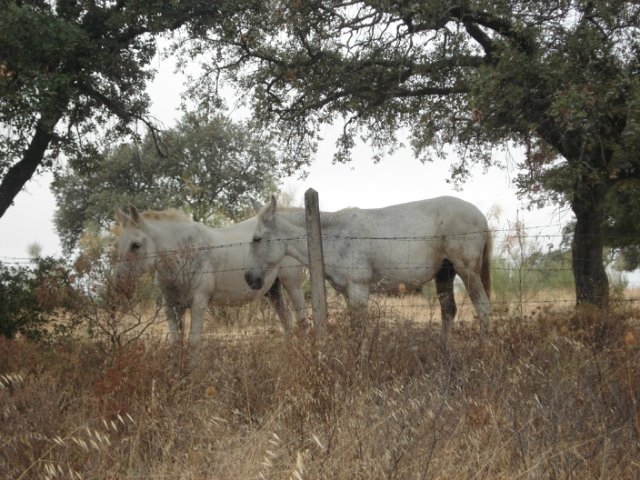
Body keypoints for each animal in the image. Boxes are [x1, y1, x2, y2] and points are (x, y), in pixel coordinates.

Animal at [115, 207, 310, 344]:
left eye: (136, 245)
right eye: (118, 244)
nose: (121, 285)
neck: (184, 253)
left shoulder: (198, 304)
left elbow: (193, 342)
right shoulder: (172, 307)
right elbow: (176, 343)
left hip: (293, 286)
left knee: (302, 323)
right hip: (273, 290)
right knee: (287, 324)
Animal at [244, 195, 490, 344]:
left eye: (257, 239)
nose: (249, 278)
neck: (334, 236)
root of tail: (480, 215)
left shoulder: (359, 289)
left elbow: (361, 326)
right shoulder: (347, 293)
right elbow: (354, 326)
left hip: (467, 271)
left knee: (483, 307)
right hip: (445, 274)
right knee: (448, 311)